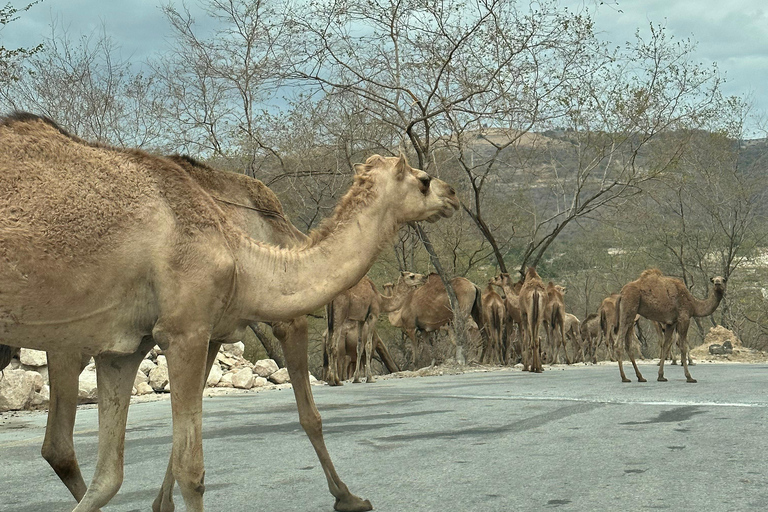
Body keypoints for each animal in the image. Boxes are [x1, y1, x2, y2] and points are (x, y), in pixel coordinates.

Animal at [0, 113, 460, 512]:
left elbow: (110, 476)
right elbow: (199, 465)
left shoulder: (130, 347)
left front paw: (158, 504)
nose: (452, 194)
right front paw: (348, 497)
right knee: (61, 443)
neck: (245, 253)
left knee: (70, 452)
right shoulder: (189, 329)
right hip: (65, 340)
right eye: (423, 181)